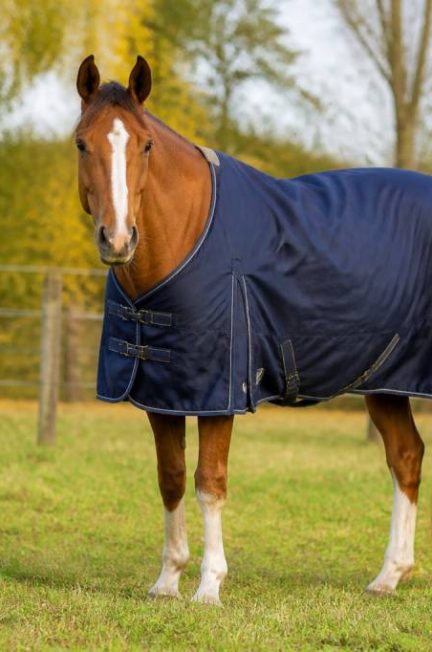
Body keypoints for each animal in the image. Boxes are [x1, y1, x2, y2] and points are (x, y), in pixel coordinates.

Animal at [75, 54, 425, 605]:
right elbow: (171, 478)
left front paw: (208, 587)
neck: (188, 236)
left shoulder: (219, 392)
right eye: (81, 143)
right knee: (406, 456)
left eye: (146, 144)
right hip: (386, 383)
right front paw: (167, 581)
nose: (118, 239)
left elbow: (209, 482)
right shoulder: (163, 392)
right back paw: (388, 577)